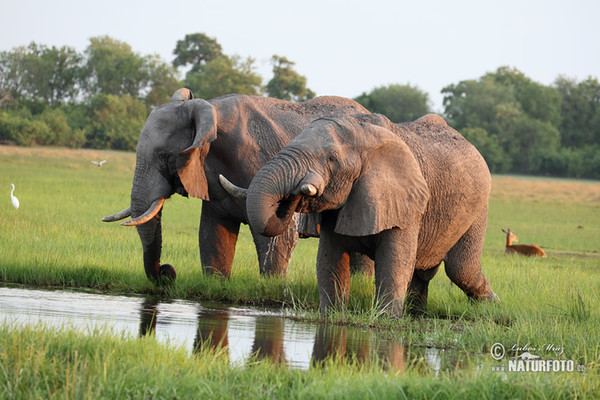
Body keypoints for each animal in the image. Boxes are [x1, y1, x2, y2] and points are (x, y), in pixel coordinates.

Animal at [102, 88, 366, 282]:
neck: (211, 109)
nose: (167, 272)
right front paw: (216, 284)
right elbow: (212, 235)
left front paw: (272, 287)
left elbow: (279, 238)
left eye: (165, 156)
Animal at [224, 111, 496, 316]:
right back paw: (417, 314)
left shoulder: (407, 201)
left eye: (331, 158)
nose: (298, 192)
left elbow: (394, 263)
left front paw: (387, 320)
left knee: (461, 270)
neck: (362, 131)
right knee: (426, 273)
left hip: (479, 207)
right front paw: (332, 315)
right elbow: (329, 260)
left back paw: (493, 307)